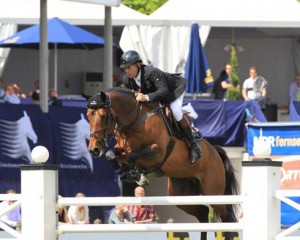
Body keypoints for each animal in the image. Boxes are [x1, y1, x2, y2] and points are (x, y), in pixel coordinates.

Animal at [86, 88, 239, 240]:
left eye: (102, 115)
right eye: (88, 116)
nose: (94, 149)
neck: (134, 120)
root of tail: (215, 152)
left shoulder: (157, 152)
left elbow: (131, 156)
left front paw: (135, 174)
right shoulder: (121, 149)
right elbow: (111, 154)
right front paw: (127, 173)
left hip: (213, 193)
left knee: (227, 218)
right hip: (180, 194)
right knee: (203, 213)